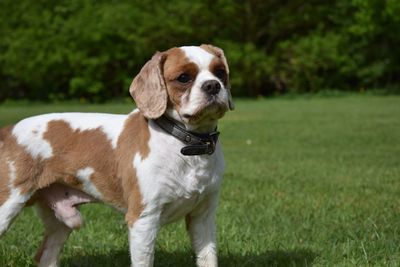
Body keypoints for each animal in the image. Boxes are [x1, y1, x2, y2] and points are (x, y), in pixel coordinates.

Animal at [0, 45, 234, 266]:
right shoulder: (143, 220)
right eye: (184, 78)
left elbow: (208, 259)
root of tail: (9, 131)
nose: (213, 85)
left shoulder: (203, 218)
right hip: (7, 206)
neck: (188, 145)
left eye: (220, 72)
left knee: (45, 256)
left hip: (60, 221)